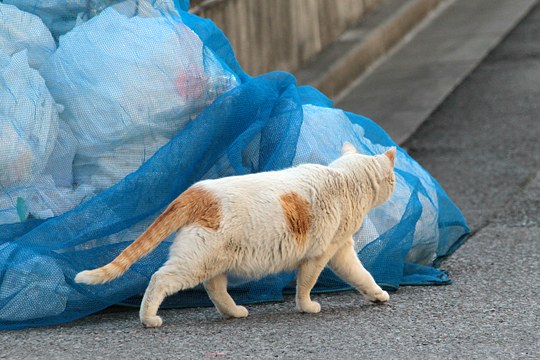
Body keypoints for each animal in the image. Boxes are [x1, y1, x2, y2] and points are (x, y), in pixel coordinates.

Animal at [75, 142, 396, 328]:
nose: (394, 186)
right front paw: (307, 307)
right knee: (159, 279)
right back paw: (149, 319)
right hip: (194, 263)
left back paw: (234, 313)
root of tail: (196, 191)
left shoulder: (340, 251)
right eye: (392, 179)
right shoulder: (320, 255)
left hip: (213, 262)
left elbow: (362, 275)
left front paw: (377, 294)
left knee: (215, 290)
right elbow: (306, 284)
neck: (343, 181)